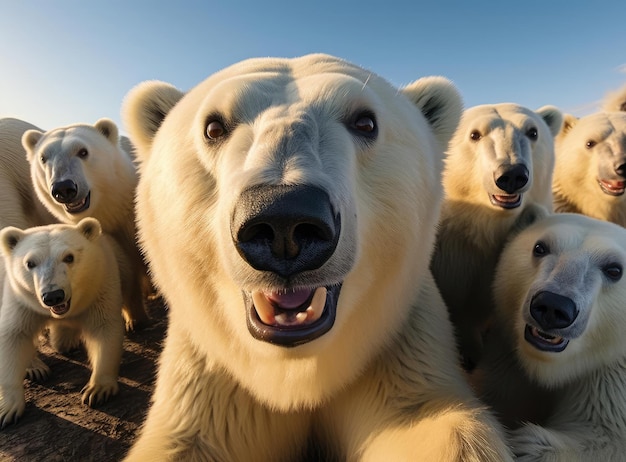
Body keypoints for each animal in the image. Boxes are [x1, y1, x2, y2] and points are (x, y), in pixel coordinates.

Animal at [0, 218, 123, 428]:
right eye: (30, 263)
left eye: (69, 257)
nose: (53, 296)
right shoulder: (21, 299)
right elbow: (14, 335)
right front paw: (8, 409)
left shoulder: (100, 285)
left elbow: (104, 327)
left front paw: (97, 390)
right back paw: (36, 368)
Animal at [118, 52, 512, 460]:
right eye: (214, 126)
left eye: (365, 121)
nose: (284, 221)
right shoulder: (209, 371)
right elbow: (188, 440)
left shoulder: (399, 344)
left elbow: (429, 419)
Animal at [470, 215, 624, 460]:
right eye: (540, 247)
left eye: (614, 270)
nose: (553, 305)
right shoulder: (506, 360)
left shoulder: (609, 377)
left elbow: (607, 435)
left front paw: (524, 446)